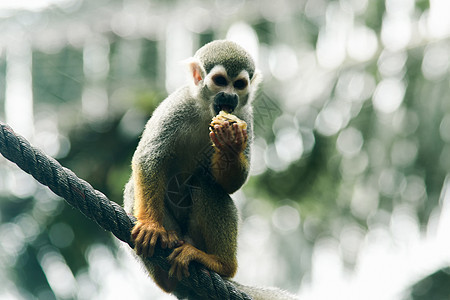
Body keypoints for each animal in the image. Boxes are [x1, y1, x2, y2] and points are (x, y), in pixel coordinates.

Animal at [123, 40, 262, 292]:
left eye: (239, 84)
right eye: (220, 81)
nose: (229, 96)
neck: (207, 110)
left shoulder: (246, 116)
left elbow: (232, 184)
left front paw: (231, 144)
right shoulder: (178, 105)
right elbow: (150, 157)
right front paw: (150, 225)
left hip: (195, 240)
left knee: (206, 184)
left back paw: (221, 264)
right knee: (133, 187)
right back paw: (165, 269)